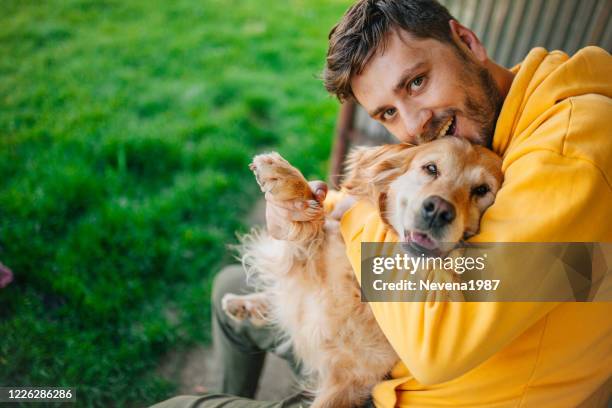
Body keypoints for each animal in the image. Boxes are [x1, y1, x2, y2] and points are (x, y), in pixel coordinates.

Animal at [220, 138, 502, 408]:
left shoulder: (350, 379)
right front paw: (284, 176)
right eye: (431, 168)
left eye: (481, 190)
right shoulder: (320, 249)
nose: (439, 210)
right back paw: (241, 303)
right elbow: (306, 233)